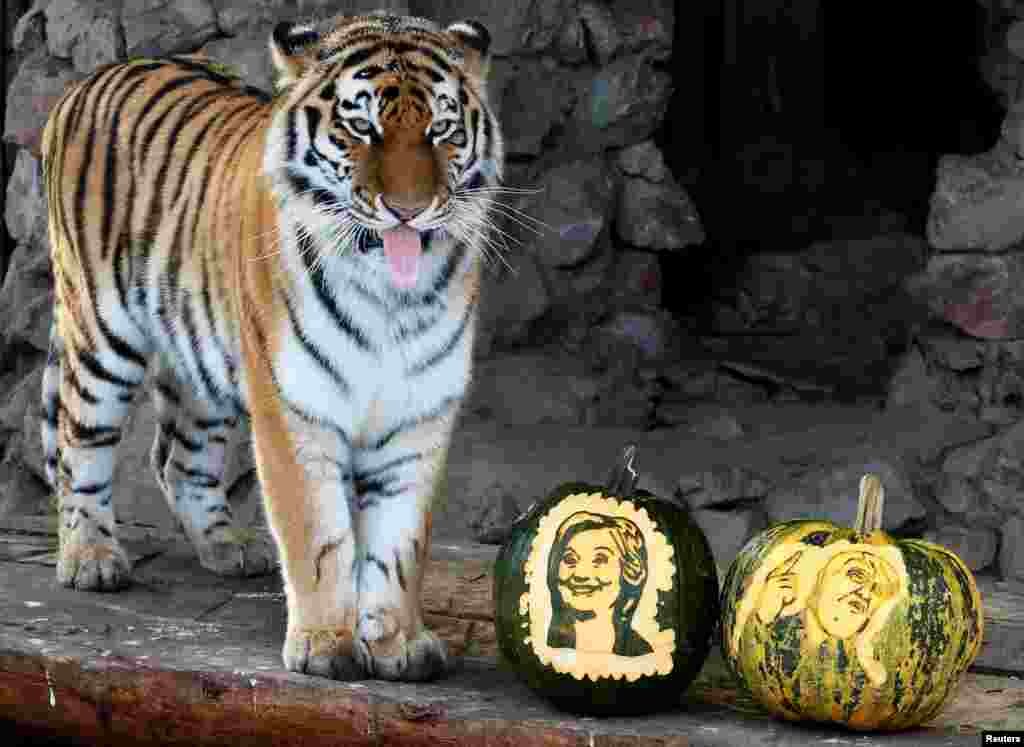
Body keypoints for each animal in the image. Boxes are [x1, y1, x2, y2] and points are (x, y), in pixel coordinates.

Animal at [38, 12, 503, 682]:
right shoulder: (295, 407)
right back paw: (91, 557)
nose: (408, 211)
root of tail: (96, 74)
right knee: (81, 447)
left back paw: (228, 547)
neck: (390, 297)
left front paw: (398, 643)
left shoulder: (419, 416)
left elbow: (399, 542)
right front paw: (326, 644)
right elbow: (319, 533)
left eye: (441, 129)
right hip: (100, 333)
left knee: (178, 460)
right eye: (362, 127)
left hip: (201, 361)